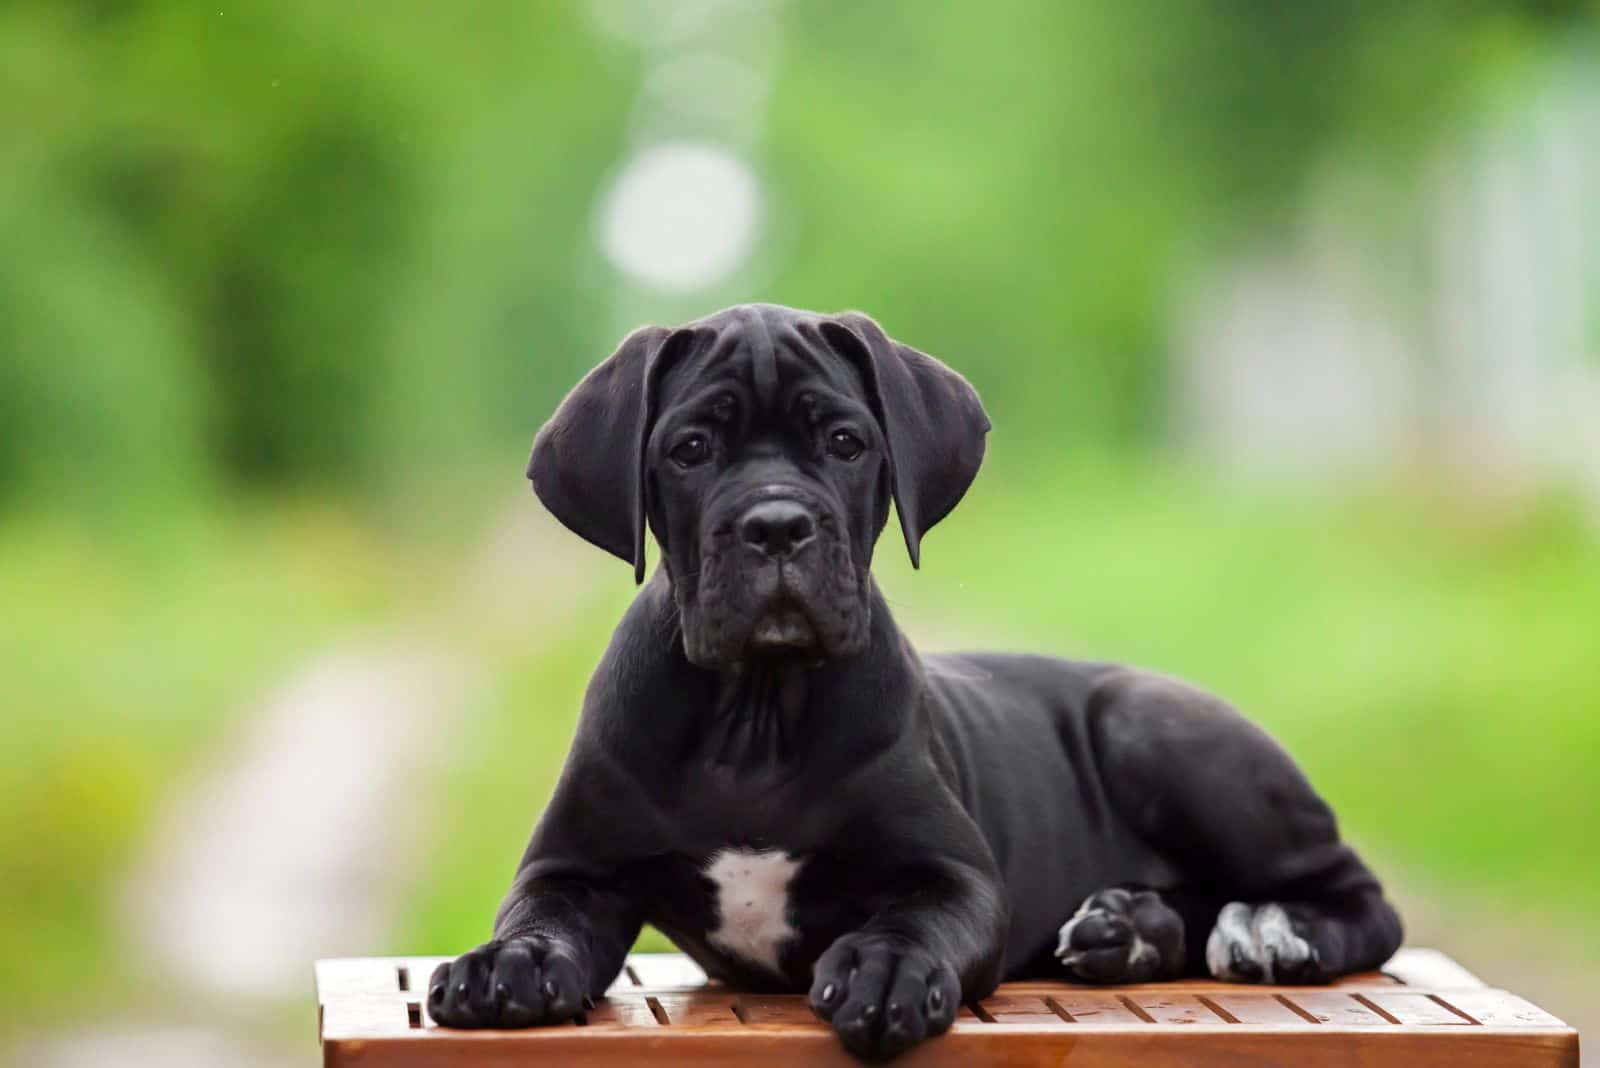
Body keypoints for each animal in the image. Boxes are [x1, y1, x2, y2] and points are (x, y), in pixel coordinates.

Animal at [428, 300, 1401, 1061]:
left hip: (1150, 725)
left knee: (1365, 898)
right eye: (691, 448)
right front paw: (509, 962)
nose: (776, 526)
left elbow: (915, 918)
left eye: (846, 442)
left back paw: (1269, 927)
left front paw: (886, 968)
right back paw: (1130, 930)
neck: (756, 712)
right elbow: (540, 917)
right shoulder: (573, 869)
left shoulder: (956, 875)